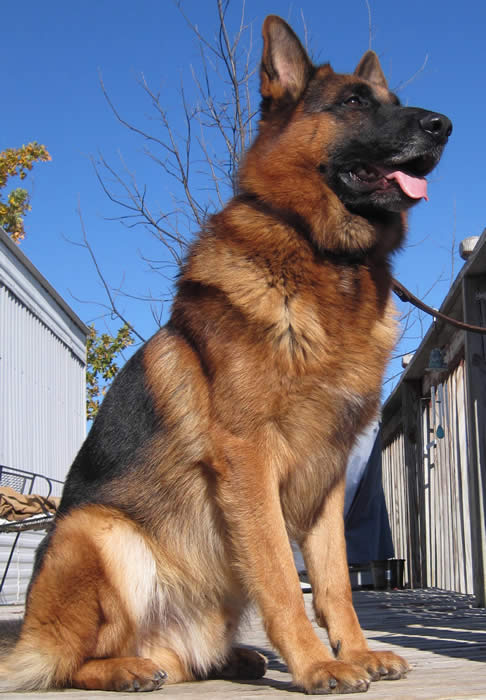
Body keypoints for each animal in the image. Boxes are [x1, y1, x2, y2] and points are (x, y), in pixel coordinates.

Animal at [0, 15, 451, 695]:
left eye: (394, 102)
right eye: (353, 103)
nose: (444, 125)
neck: (322, 253)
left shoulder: (326, 476)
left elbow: (335, 583)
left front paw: (355, 651)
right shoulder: (250, 460)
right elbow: (281, 578)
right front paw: (317, 664)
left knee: (182, 659)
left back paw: (228, 657)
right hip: (94, 530)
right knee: (66, 663)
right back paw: (126, 668)